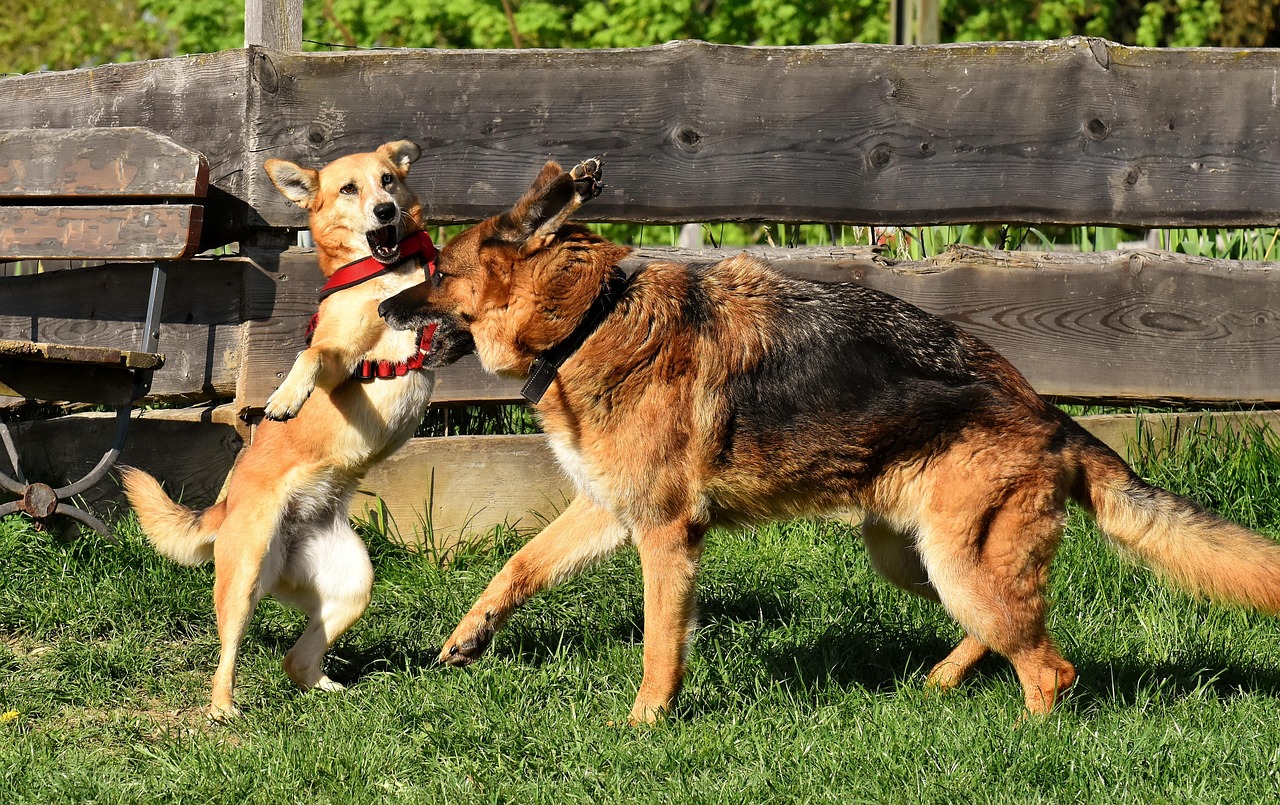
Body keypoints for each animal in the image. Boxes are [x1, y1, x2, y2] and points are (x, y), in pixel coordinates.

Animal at [120, 141, 458, 716]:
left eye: (388, 180)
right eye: (349, 189)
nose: (385, 211)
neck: (382, 275)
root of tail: (226, 507)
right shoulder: (342, 358)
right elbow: (312, 353)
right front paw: (285, 397)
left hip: (352, 585)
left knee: (295, 660)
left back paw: (329, 689)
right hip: (245, 576)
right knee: (228, 653)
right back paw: (223, 710)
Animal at [373, 158, 1280, 721]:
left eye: (439, 271)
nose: (382, 306)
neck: (589, 316)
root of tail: (1049, 416)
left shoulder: (664, 535)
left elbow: (660, 645)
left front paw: (644, 723)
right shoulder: (611, 511)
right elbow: (517, 565)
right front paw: (467, 636)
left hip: (957, 564)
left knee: (1050, 666)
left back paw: (1026, 738)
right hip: (916, 561)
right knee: (1010, 630)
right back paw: (940, 682)